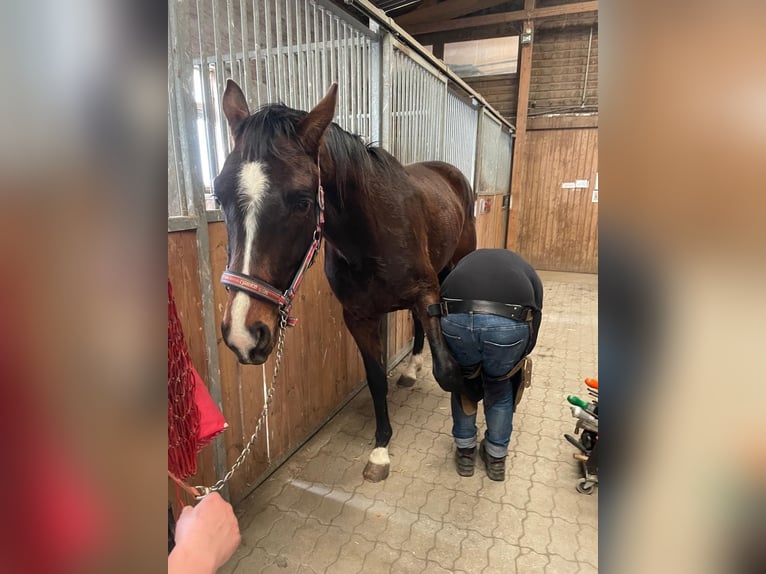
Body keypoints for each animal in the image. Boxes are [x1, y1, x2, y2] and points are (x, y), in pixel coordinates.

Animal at [210, 81, 474, 482]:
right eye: (219, 193)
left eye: (303, 201)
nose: (243, 333)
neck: (372, 234)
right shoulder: (359, 316)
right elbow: (376, 379)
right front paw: (380, 450)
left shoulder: (426, 291)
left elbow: (447, 370)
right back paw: (411, 369)